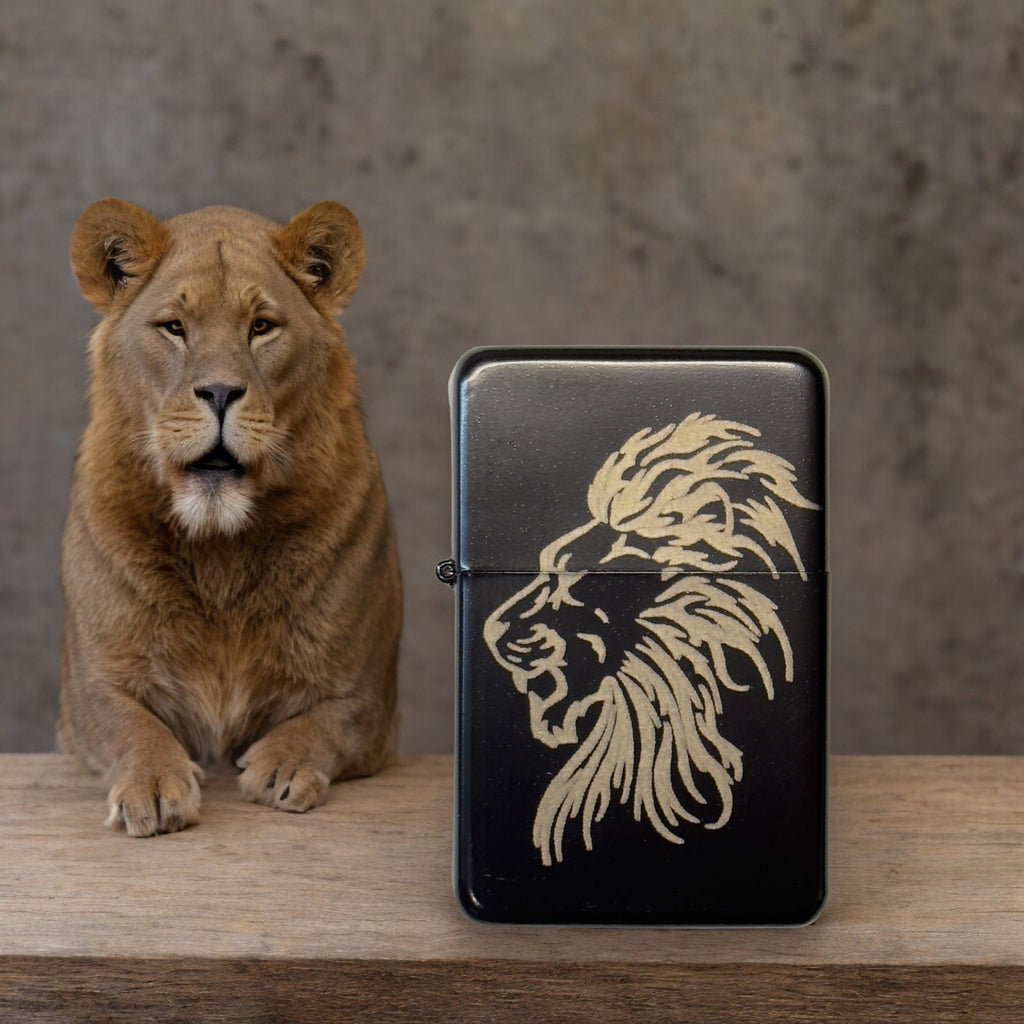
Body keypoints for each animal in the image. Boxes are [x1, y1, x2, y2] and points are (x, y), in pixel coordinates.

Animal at [59, 198, 401, 837]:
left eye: (261, 326)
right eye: (174, 327)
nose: (219, 392)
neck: (218, 544)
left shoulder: (369, 698)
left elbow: (325, 721)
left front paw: (282, 766)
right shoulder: (85, 689)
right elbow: (130, 724)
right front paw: (154, 784)